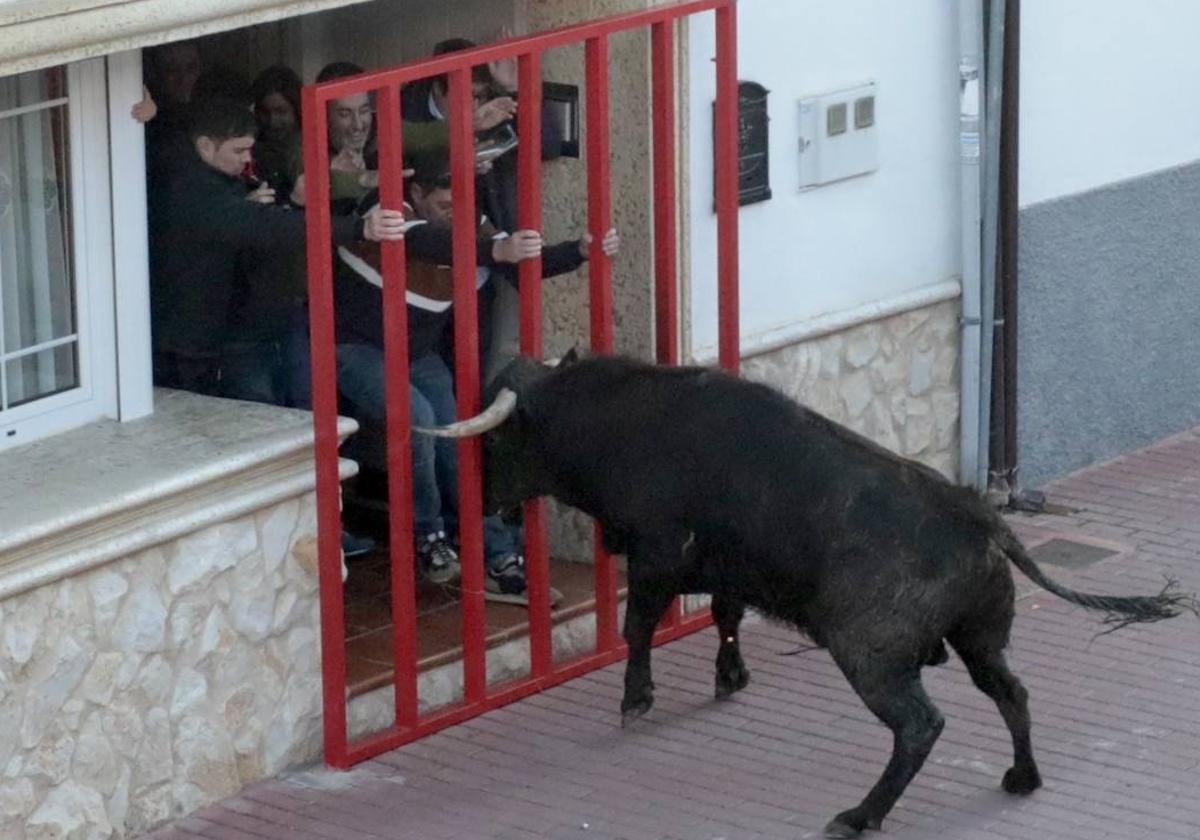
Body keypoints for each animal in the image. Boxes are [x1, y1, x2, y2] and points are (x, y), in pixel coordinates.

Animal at [420, 355, 1190, 840]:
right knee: (1012, 692)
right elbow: (724, 616)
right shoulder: (723, 567)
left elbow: (639, 627)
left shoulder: (656, 556)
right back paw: (1021, 778)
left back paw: (859, 815)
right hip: (980, 636)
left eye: (496, 445)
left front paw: (636, 699)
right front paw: (731, 676)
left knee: (921, 725)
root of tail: (977, 514)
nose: (478, 503)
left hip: (871, 656)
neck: (625, 419)